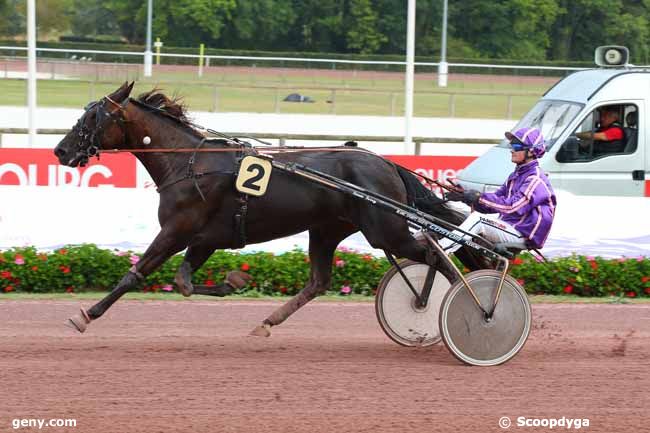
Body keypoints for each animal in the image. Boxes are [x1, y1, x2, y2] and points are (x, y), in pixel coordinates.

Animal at [53, 82, 484, 336]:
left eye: (91, 117)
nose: (60, 150)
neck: (190, 163)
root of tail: (388, 164)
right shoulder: (205, 238)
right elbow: (185, 282)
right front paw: (234, 281)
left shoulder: (177, 230)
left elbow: (136, 274)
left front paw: (86, 314)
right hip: (328, 229)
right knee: (319, 281)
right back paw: (267, 322)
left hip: (385, 231)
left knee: (433, 254)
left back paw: (462, 306)